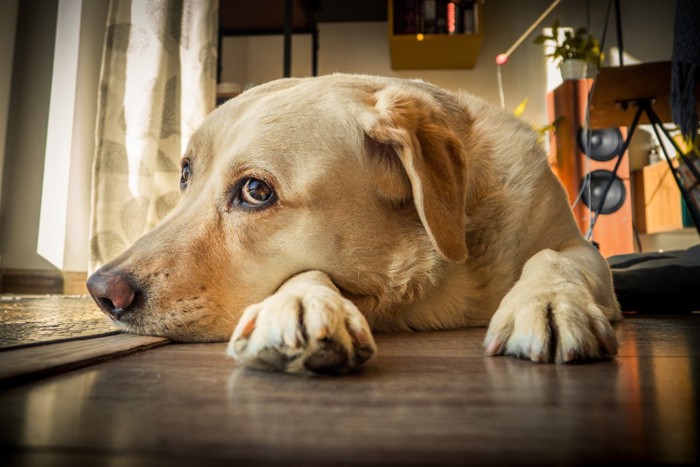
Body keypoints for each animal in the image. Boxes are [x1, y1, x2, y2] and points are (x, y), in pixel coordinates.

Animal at [86, 73, 616, 374]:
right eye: (185, 173)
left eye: (256, 191)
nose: (100, 291)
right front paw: (299, 302)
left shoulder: (584, 250)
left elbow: (553, 258)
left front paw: (549, 304)